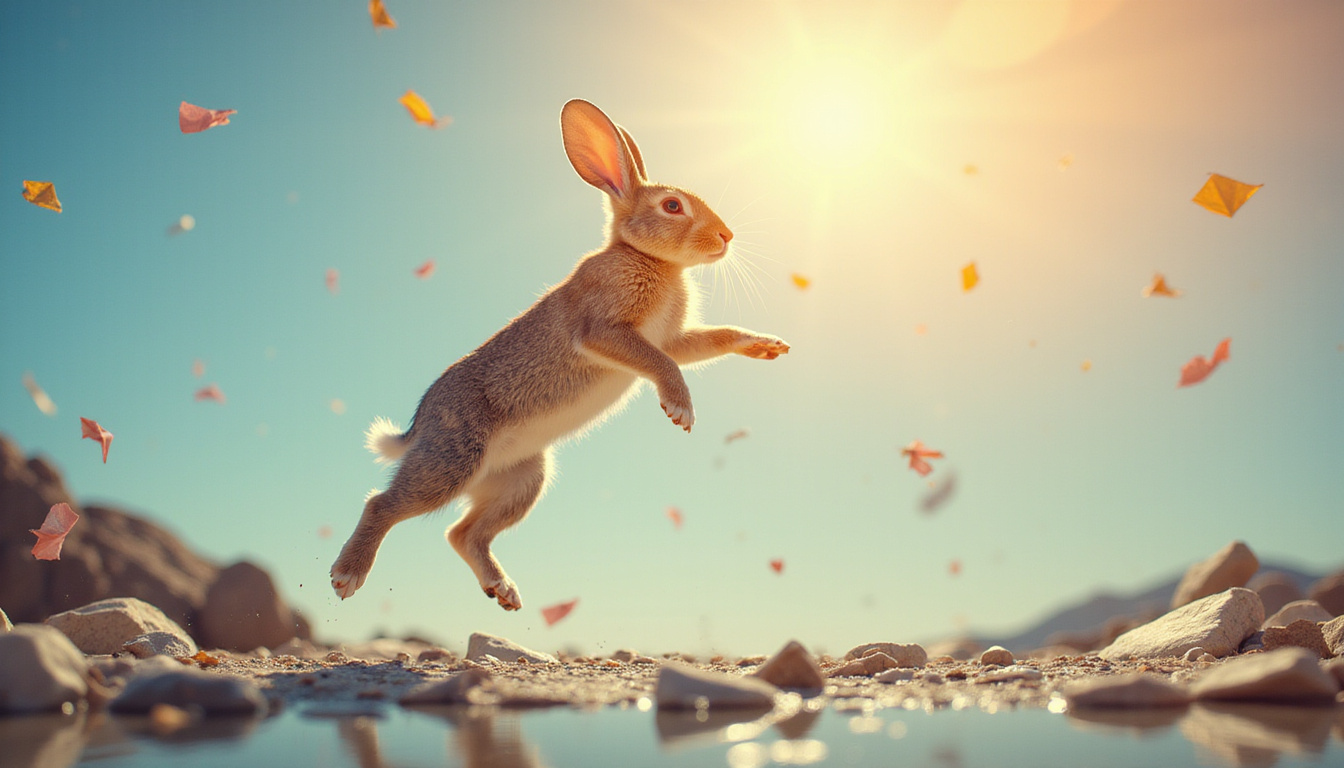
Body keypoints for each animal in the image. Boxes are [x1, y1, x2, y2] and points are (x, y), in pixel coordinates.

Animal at [330, 99, 790, 610]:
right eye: (672, 206)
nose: (726, 236)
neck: (651, 260)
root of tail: (419, 427)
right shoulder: (603, 331)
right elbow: (661, 362)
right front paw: (680, 410)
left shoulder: (665, 338)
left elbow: (701, 344)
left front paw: (764, 346)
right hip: (454, 458)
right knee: (384, 504)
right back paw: (347, 576)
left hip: (524, 479)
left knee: (464, 534)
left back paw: (503, 592)